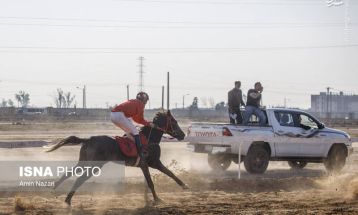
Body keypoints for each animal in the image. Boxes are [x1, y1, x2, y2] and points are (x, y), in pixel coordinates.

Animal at [46, 110, 187, 206]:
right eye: (174, 122)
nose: (183, 135)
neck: (150, 138)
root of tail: (89, 139)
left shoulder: (154, 163)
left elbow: (170, 173)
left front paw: (185, 186)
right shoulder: (147, 164)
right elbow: (151, 182)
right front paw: (157, 199)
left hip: (84, 162)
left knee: (69, 173)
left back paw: (56, 189)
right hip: (94, 165)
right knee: (79, 179)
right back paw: (67, 199)